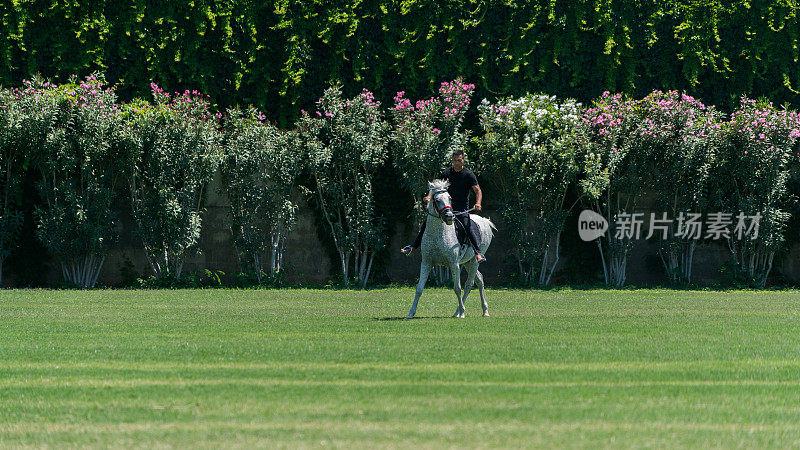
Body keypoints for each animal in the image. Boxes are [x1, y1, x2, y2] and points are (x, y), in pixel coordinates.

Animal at [406, 179, 494, 320]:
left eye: (449, 198)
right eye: (437, 200)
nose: (449, 216)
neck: (438, 234)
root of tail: (485, 221)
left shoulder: (454, 264)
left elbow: (457, 288)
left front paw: (462, 312)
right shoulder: (426, 263)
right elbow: (419, 288)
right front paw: (410, 313)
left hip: (474, 261)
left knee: (469, 284)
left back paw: (460, 311)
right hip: (467, 262)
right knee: (479, 280)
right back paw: (483, 310)